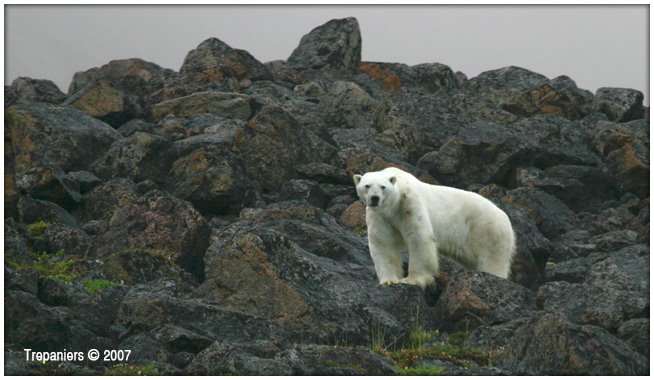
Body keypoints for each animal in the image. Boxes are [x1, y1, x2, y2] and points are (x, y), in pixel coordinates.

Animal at [354, 166, 516, 288]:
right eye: (367, 186)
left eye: (383, 187)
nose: (375, 198)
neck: (393, 207)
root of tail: (505, 217)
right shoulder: (379, 217)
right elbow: (383, 243)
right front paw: (389, 280)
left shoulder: (410, 205)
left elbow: (419, 238)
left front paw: (412, 280)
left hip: (488, 230)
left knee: (492, 260)